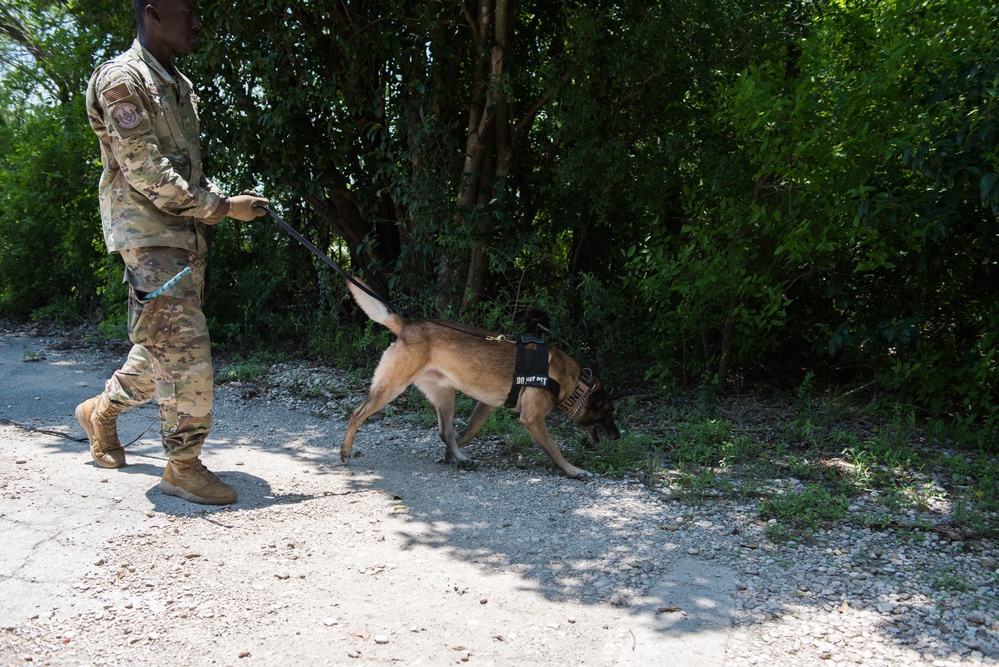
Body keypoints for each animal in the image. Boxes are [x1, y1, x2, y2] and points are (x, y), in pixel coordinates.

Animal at [344, 280, 616, 478]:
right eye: (608, 412)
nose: (617, 436)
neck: (570, 381)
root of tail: (408, 325)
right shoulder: (533, 420)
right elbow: (555, 450)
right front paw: (573, 471)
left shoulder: (488, 405)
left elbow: (467, 432)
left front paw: (450, 456)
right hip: (392, 388)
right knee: (356, 414)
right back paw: (345, 451)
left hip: (445, 396)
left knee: (446, 432)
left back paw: (462, 459)